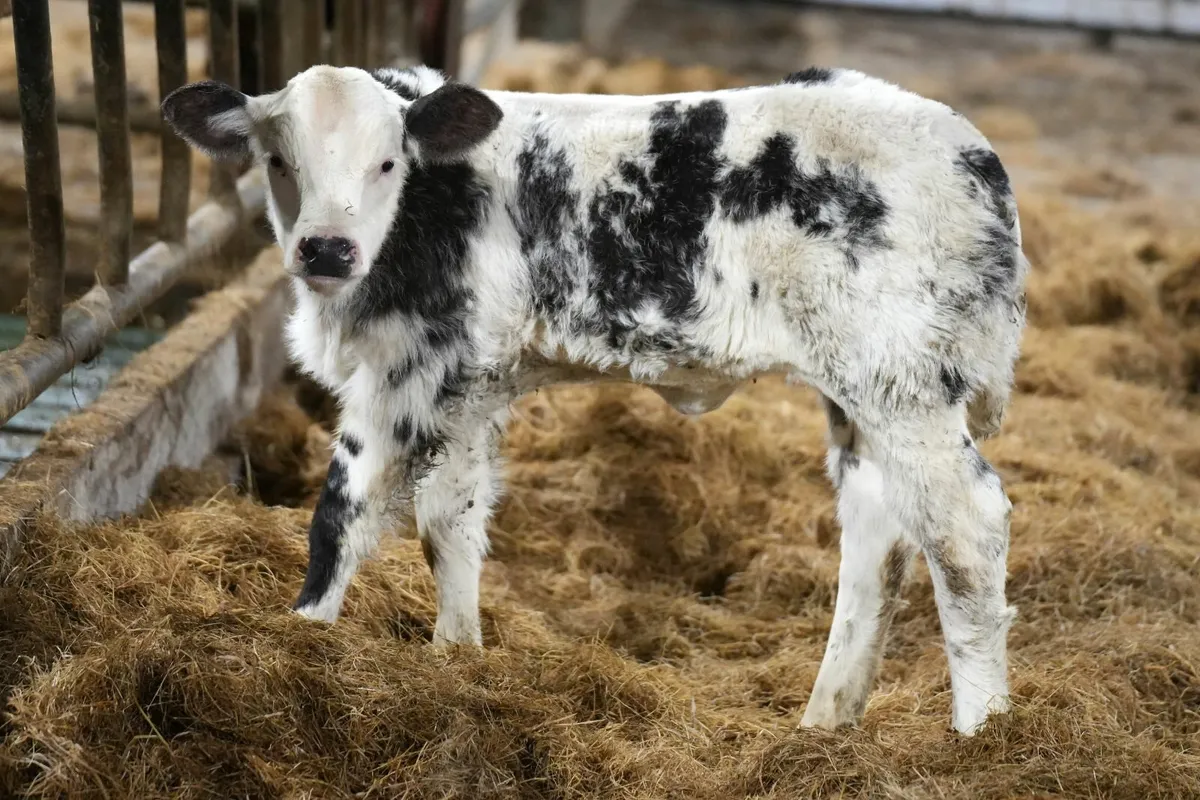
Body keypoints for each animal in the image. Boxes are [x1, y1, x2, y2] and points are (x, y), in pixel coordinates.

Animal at [161, 61, 1029, 736]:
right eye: (278, 160)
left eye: (387, 163)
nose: (326, 250)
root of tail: (972, 152)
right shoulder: (473, 381)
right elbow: (451, 523)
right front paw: (455, 658)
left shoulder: (404, 373)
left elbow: (340, 517)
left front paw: (300, 638)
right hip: (862, 393)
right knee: (878, 527)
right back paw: (826, 721)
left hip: (903, 382)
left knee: (963, 530)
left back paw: (981, 733)